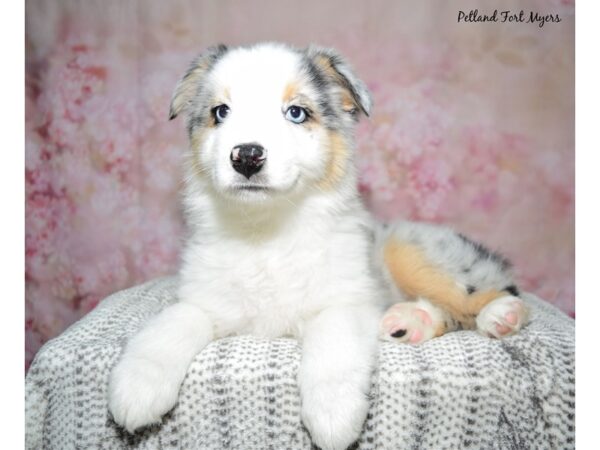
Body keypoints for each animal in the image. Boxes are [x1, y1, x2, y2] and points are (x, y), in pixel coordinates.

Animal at [109, 42, 528, 450]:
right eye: (220, 112)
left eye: (296, 113)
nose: (246, 156)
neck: (267, 231)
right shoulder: (205, 300)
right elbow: (170, 325)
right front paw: (135, 388)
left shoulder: (345, 302)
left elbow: (333, 347)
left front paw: (333, 415)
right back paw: (408, 324)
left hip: (412, 250)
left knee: (493, 291)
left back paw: (501, 315)